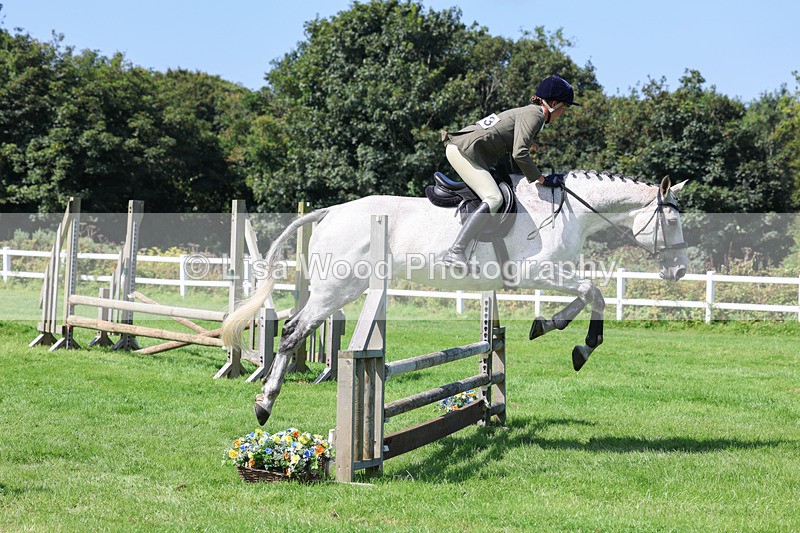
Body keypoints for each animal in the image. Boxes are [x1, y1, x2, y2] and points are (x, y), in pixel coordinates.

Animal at [221, 171, 689, 425]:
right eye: (671, 222)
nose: (680, 271)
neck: (566, 212)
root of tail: (332, 211)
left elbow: (589, 295)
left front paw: (547, 325)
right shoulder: (537, 271)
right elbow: (596, 293)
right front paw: (580, 347)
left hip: (343, 289)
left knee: (297, 327)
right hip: (339, 287)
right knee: (293, 330)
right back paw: (264, 403)